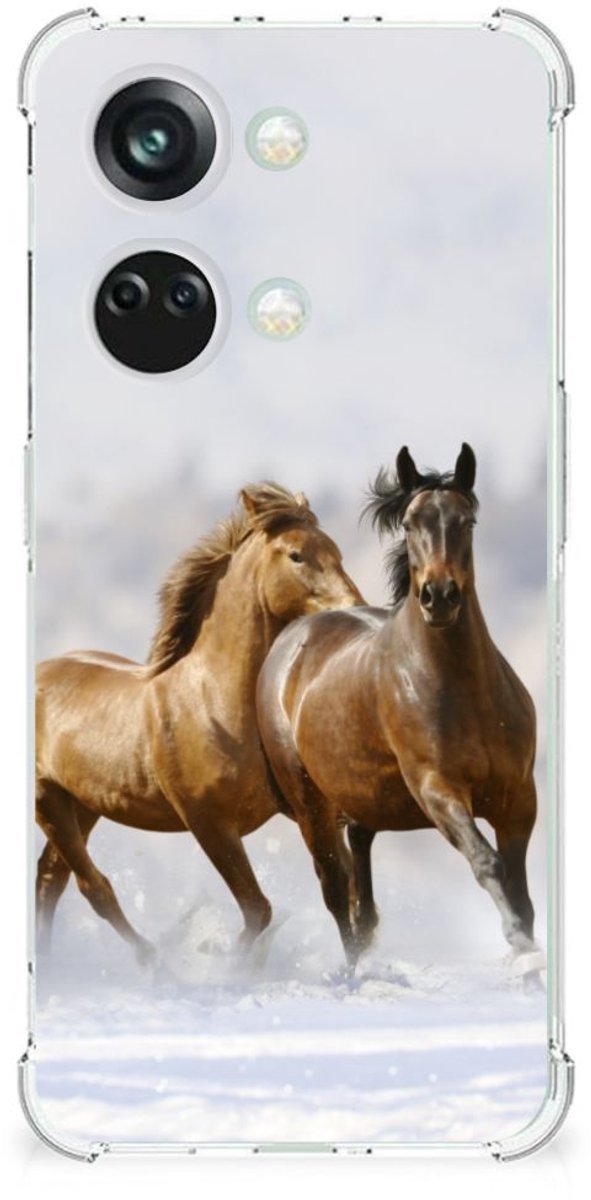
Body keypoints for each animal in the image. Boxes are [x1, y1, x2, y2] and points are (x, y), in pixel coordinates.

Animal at [35, 483, 363, 962]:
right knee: (91, 887)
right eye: (296, 555)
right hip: (49, 800)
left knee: (50, 879)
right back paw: (153, 961)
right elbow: (258, 909)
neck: (215, 704)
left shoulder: (306, 809)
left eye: (337, 550)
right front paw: (224, 962)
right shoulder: (208, 823)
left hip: (83, 804)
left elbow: (340, 887)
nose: (355, 609)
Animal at [256, 445, 539, 967]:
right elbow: (487, 862)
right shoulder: (437, 790)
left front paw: (527, 949)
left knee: (361, 890)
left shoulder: (518, 798)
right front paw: (517, 943)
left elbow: (521, 890)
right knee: (336, 891)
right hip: (310, 805)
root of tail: (290, 639)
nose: (439, 596)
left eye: (467, 521)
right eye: (409, 523)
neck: (464, 692)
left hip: (361, 802)